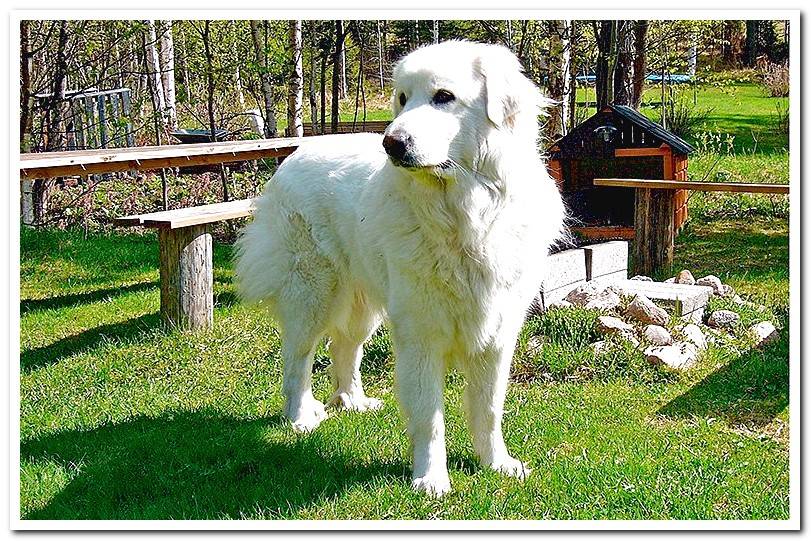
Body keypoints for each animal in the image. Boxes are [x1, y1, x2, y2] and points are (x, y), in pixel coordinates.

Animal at [235, 41, 564, 498]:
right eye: (403, 99)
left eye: (444, 97)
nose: (391, 143)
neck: (465, 216)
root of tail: (294, 154)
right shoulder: (420, 334)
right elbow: (429, 416)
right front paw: (431, 479)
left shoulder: (496, 334)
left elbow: (488, 408)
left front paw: (496, 463)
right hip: (314, 292)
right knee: (297, 357)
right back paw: (300, 416)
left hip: (364, 304)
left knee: (344, 347)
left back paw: (352, 401)